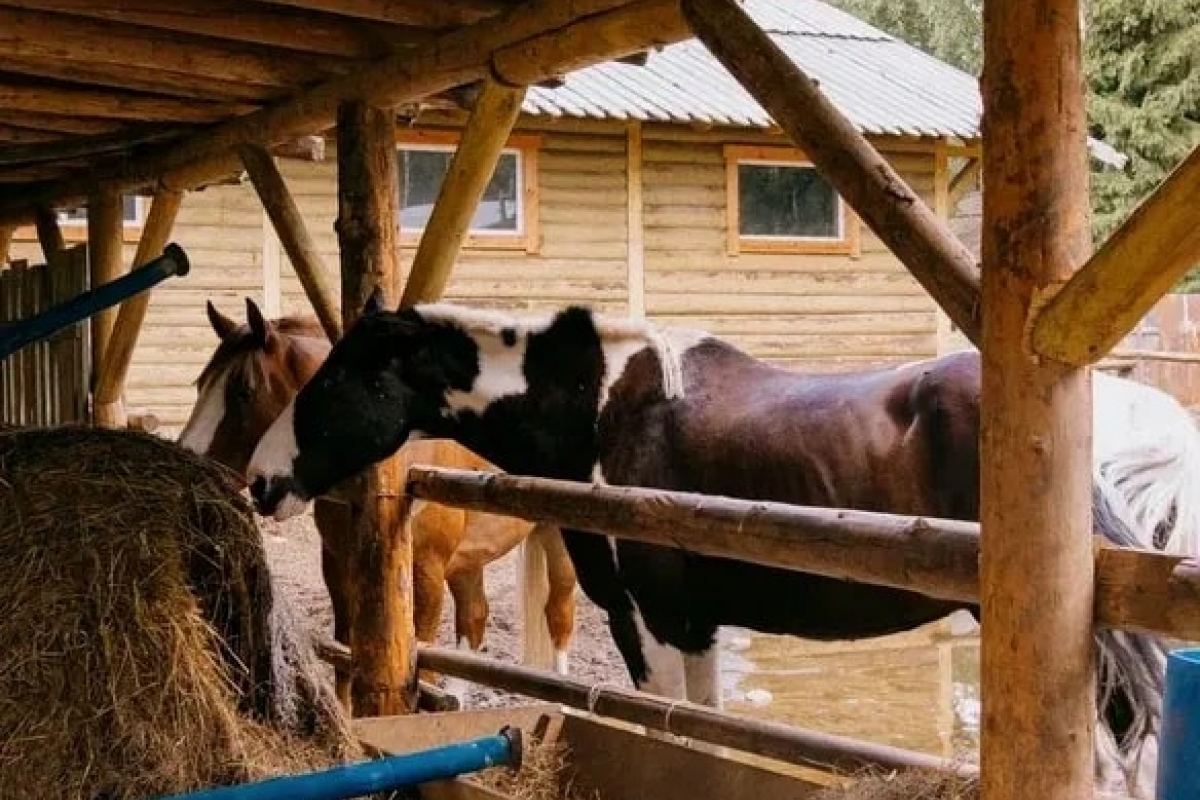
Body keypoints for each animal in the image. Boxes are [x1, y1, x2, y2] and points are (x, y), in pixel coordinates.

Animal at [175, 297, 578, 705]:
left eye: (243, 391)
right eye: (200, 384)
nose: (186, 461)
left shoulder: (426, 572)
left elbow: (424, 662)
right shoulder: (338, 565)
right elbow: (347, 653)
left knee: (558, 613)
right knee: (475, 617)